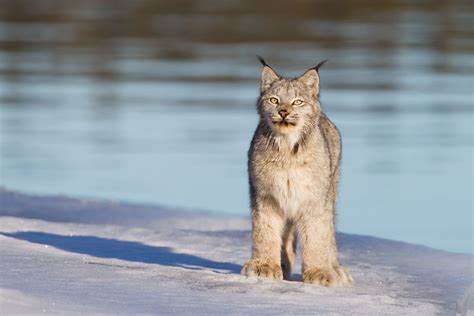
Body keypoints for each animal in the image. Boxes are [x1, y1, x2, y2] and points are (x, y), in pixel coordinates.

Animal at [241, 56, 352, 286]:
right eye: (274, 100)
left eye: (297, 102)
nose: (283, 112)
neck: (286, 148)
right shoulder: (264, 196)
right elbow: (264, 230)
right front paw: (265, 266)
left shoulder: (315, 199)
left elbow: (318, 234)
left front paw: (319, 272)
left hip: (331, 191)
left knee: (330, 231)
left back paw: (335, 268)